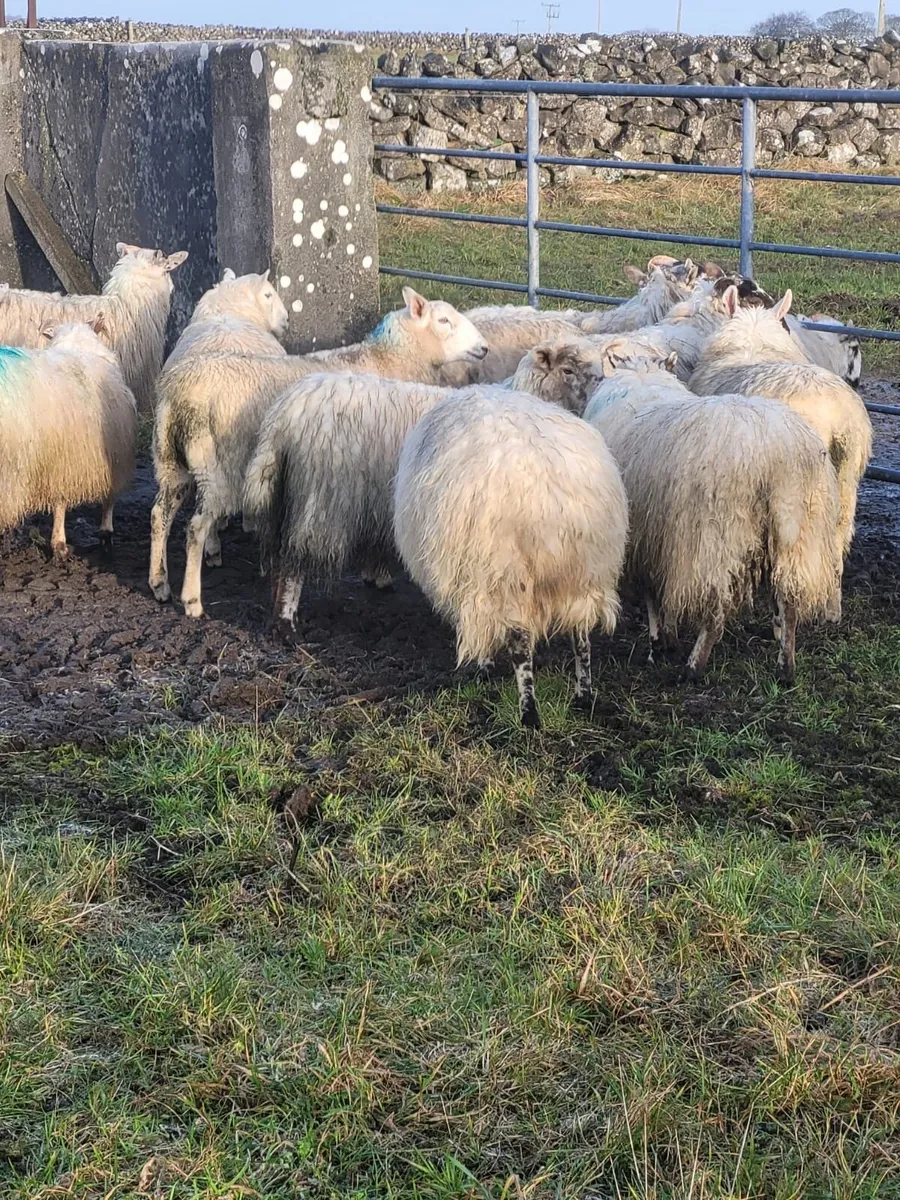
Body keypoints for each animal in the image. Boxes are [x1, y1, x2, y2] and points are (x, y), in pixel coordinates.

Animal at [149, 287, 489, 617]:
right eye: (444, 320)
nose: (484, 348)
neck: (393, 359)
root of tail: (177, 393)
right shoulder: (379, 466)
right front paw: (378, 574)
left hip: (171, 460)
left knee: (159, 514)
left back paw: (159, 584)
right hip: (217, 465)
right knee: (195, 527)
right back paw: (192, 601)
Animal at [393, 388, 629, 728]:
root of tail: (548, 499)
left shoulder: (477, 583)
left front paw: (484, 666)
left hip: (506, 574)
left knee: (521, 647)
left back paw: (529, 713)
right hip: (586, 572)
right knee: (582, 639)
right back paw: (583, 696)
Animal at [584, 354, 841, 682]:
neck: (643, 380)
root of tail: (774, 453)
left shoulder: (650, 538)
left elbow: (653, 595)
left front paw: (661, 643)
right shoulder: (664, 539)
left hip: (716, 538)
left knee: (716, 610)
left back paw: (694, 666)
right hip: (801, 535)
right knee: (789, 603)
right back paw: (786, 666)